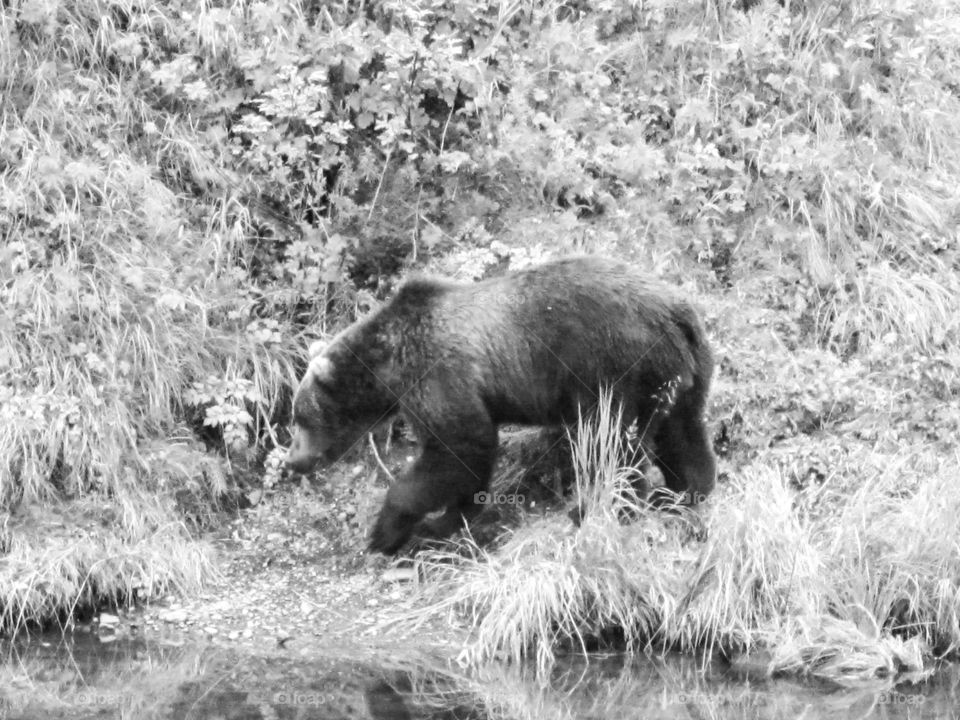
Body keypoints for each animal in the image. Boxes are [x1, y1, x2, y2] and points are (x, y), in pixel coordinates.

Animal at [285, 256, 716, 555]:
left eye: (300, 418)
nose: (293, 461)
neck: (388, 367)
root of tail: (675, 312)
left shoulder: (436, 373)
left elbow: (458, 448)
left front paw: (387, 531)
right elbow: (466, 462)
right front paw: (449, 519)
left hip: (611, 366)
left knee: (609, 442)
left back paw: (595, 508)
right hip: (681, 371)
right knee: (683, 431)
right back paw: (687, 491)